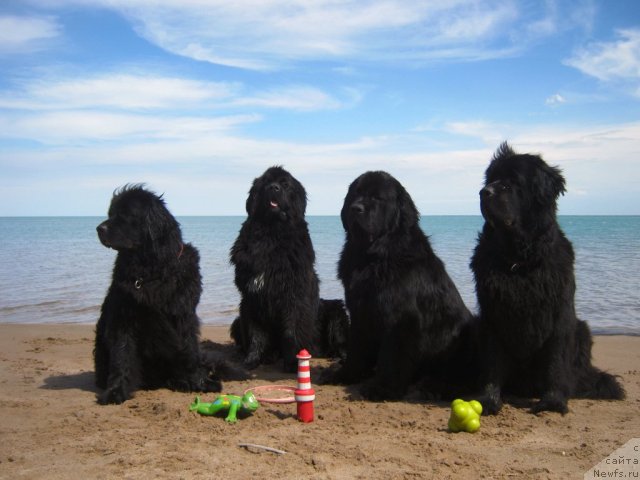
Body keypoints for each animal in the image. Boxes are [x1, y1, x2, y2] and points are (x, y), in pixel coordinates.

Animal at [95, 186, 245, 404]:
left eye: (125, 215)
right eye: (110, 213)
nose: (99, 229)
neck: (151, 271)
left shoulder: (183, 314)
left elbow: (189, 350)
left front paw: (198, 382)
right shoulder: (124, 317)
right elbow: (122, 354)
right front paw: (116, 391)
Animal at [230, 165, 350, 372]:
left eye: (285, 184)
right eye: (265, 183)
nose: (274, 188)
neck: (272, 234)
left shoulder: (294, 295)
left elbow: (292, 330)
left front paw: (293, 362)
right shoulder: (251, 298)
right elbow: (255, 334)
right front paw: (252, 360)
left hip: (336, 311)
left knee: (342, 342)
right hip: (237, 321)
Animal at [320, 171, 476, 400]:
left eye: (377, 197)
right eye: (354, 195)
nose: (355, 208)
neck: (373, 257)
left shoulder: (400, 319)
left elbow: (392, 356)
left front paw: (383, 388)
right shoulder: (359, 312)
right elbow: (356, 348)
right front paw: (347, 375)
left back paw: (434, 386)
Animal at [470, 143, 624, 416]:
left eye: (512, 182)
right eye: (490, 180)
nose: (484, 192)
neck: (519, 260)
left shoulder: (558, 311)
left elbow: (555, 360)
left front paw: (553, 402)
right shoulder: (491, 314)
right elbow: (492, 360)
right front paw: (487, 400)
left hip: (582, 329)